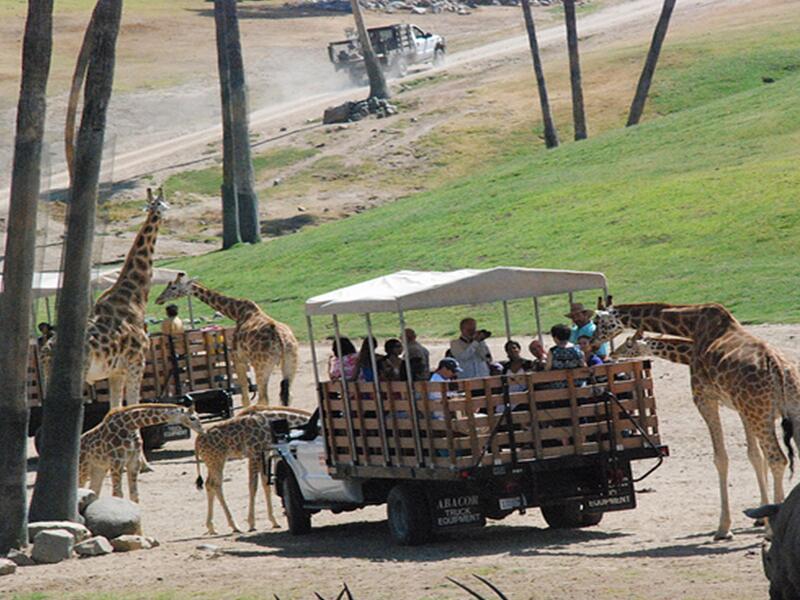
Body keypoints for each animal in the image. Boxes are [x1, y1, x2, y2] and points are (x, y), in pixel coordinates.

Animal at [155, 276, 298, 408]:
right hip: (290, 364)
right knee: (287, 396)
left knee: (264, 399)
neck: (236, 313)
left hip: (262, 365)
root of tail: (281, 340)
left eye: (173, 287)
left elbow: (245, 396)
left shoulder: (238, 358)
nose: (158, 299)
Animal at [194, 408, 312, 536]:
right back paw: (234, 526)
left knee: (209, 484)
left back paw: (211, 527)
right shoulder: (254, 453)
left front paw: (274, 521)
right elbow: (253, 486)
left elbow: (265, 484)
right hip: (217, 460)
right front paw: (251, 524)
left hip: (211, 462)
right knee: (216, 485)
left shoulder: (264, 453)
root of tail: (197, 442)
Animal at [592, 300, 800, 540]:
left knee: (777, 458)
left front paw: (725, 528)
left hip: (759, 411)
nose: (605, 352)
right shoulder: (741, 409)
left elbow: (724, 458)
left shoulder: (705, 399)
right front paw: (757, 516)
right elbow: (755, 456)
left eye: (597, 321)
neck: (692, 327)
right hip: (783, 411)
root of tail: (779, 369)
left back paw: (773, 527)